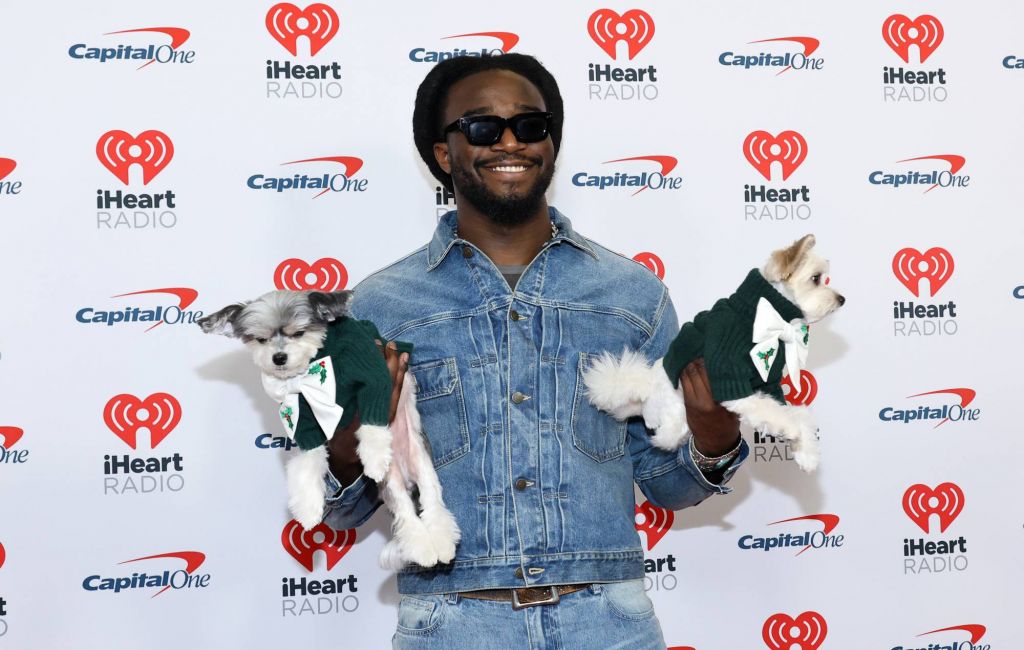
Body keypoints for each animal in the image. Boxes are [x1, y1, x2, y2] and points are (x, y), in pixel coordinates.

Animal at [585, 236, 839, 470]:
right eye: (816, 278)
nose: (841, 299)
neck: (762, 315)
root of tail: (645, 387)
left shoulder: (769, 384)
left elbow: (793, 412)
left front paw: (806, 452)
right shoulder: (730, 382)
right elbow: (770, 410)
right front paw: (790, 429)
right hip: (675, 409)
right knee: (666, 437)